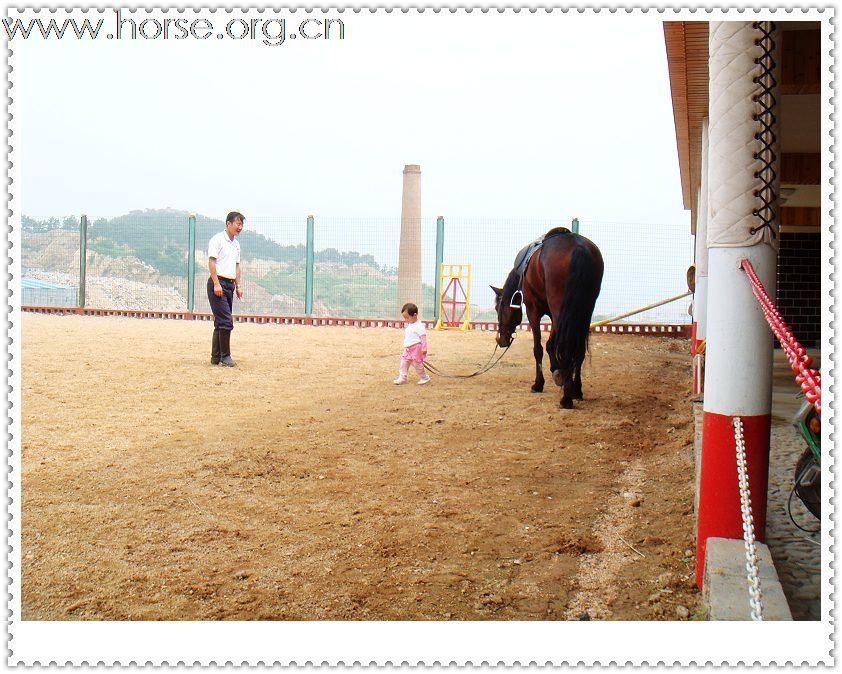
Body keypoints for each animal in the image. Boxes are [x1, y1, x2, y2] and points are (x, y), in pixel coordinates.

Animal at [488, 226, 600, 406]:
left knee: (566, 346)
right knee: (578, 348)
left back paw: (566, 398)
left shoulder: (534, 311)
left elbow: (539, 348)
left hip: (560, 309)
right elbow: (550, 345)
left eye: (498, 308)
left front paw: (539, 383)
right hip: (584, 312)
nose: (501, 340)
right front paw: (557, 371)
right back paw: (576, 389)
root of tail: (579, 247)